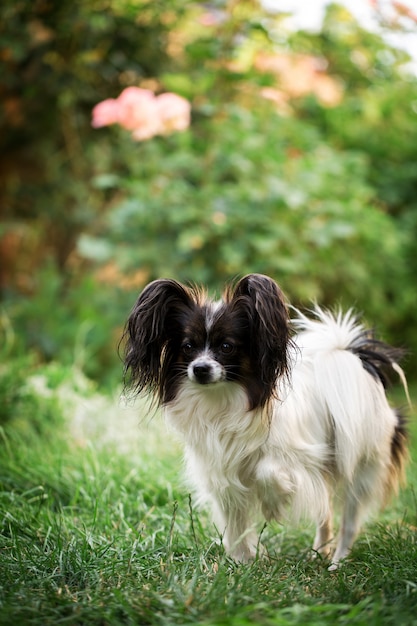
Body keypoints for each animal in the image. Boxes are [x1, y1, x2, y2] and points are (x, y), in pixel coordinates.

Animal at [122, 272, 408, 564]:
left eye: (227, 346)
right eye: (188, 346)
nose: (200, 369)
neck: (224, 400)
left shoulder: (301, 458)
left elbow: (267, 471)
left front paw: (272, 506)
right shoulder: (221, 474)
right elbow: (235, 524)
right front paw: (242, 561)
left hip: (363, 465)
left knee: (349, 519)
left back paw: (337, 562)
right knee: (324, 511)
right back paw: (320, 551)